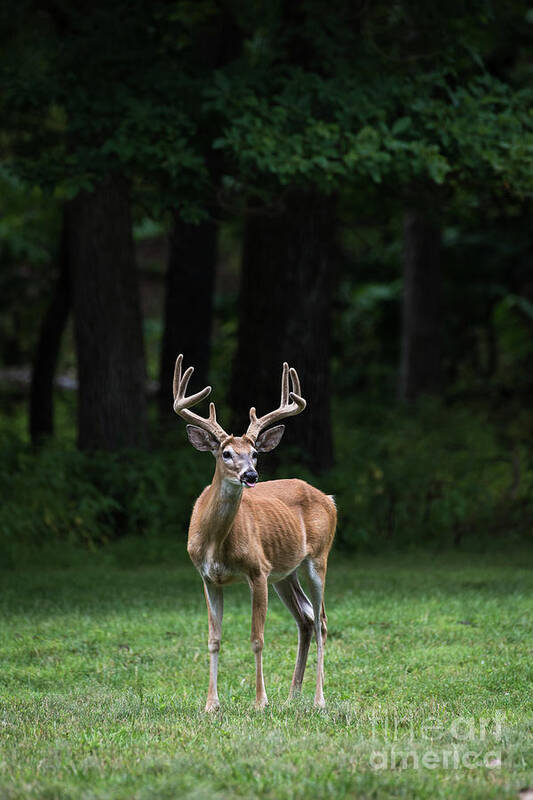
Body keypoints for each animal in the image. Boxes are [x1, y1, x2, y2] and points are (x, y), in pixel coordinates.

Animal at [172, 354, 334, 708]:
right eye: (226, 453)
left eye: (256, 453)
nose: (250, 475)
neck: (216, 542)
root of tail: (328, 498)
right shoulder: (207, 578)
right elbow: (214, 639)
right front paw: (211, 704)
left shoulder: (258, 570)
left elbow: (257, 638)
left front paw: (260, 701)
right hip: (285, 572)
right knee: (306, 618)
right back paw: (292, 696)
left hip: (318, 558)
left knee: (322, 622)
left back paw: (318, 699)